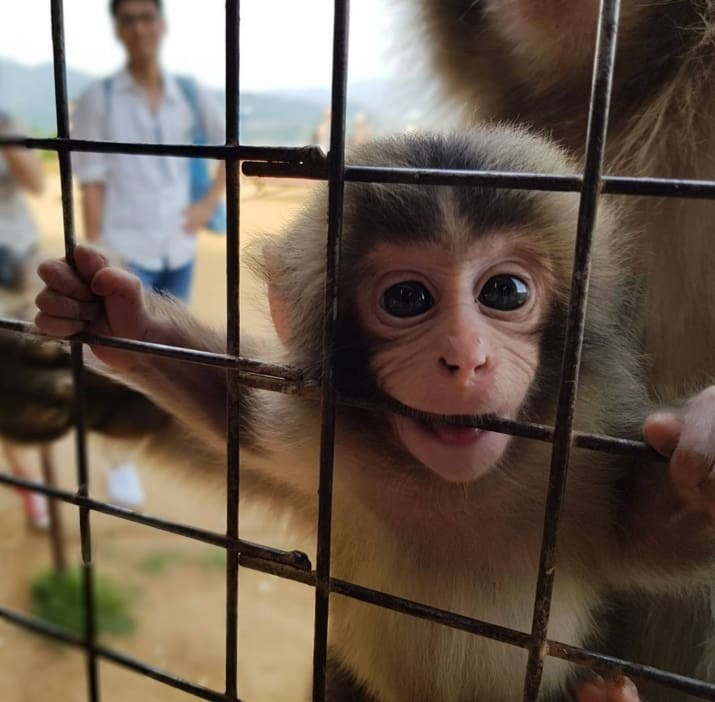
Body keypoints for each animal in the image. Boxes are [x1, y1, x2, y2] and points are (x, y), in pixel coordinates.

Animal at [35, 126, 715, 702]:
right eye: (407, 299)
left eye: (506, 292)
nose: (466, 358)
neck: (450, 487)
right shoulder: (321, 440)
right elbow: (237, 417)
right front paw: (118, 317)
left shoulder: (578, 467)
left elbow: (651, 539)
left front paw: (705, 440)